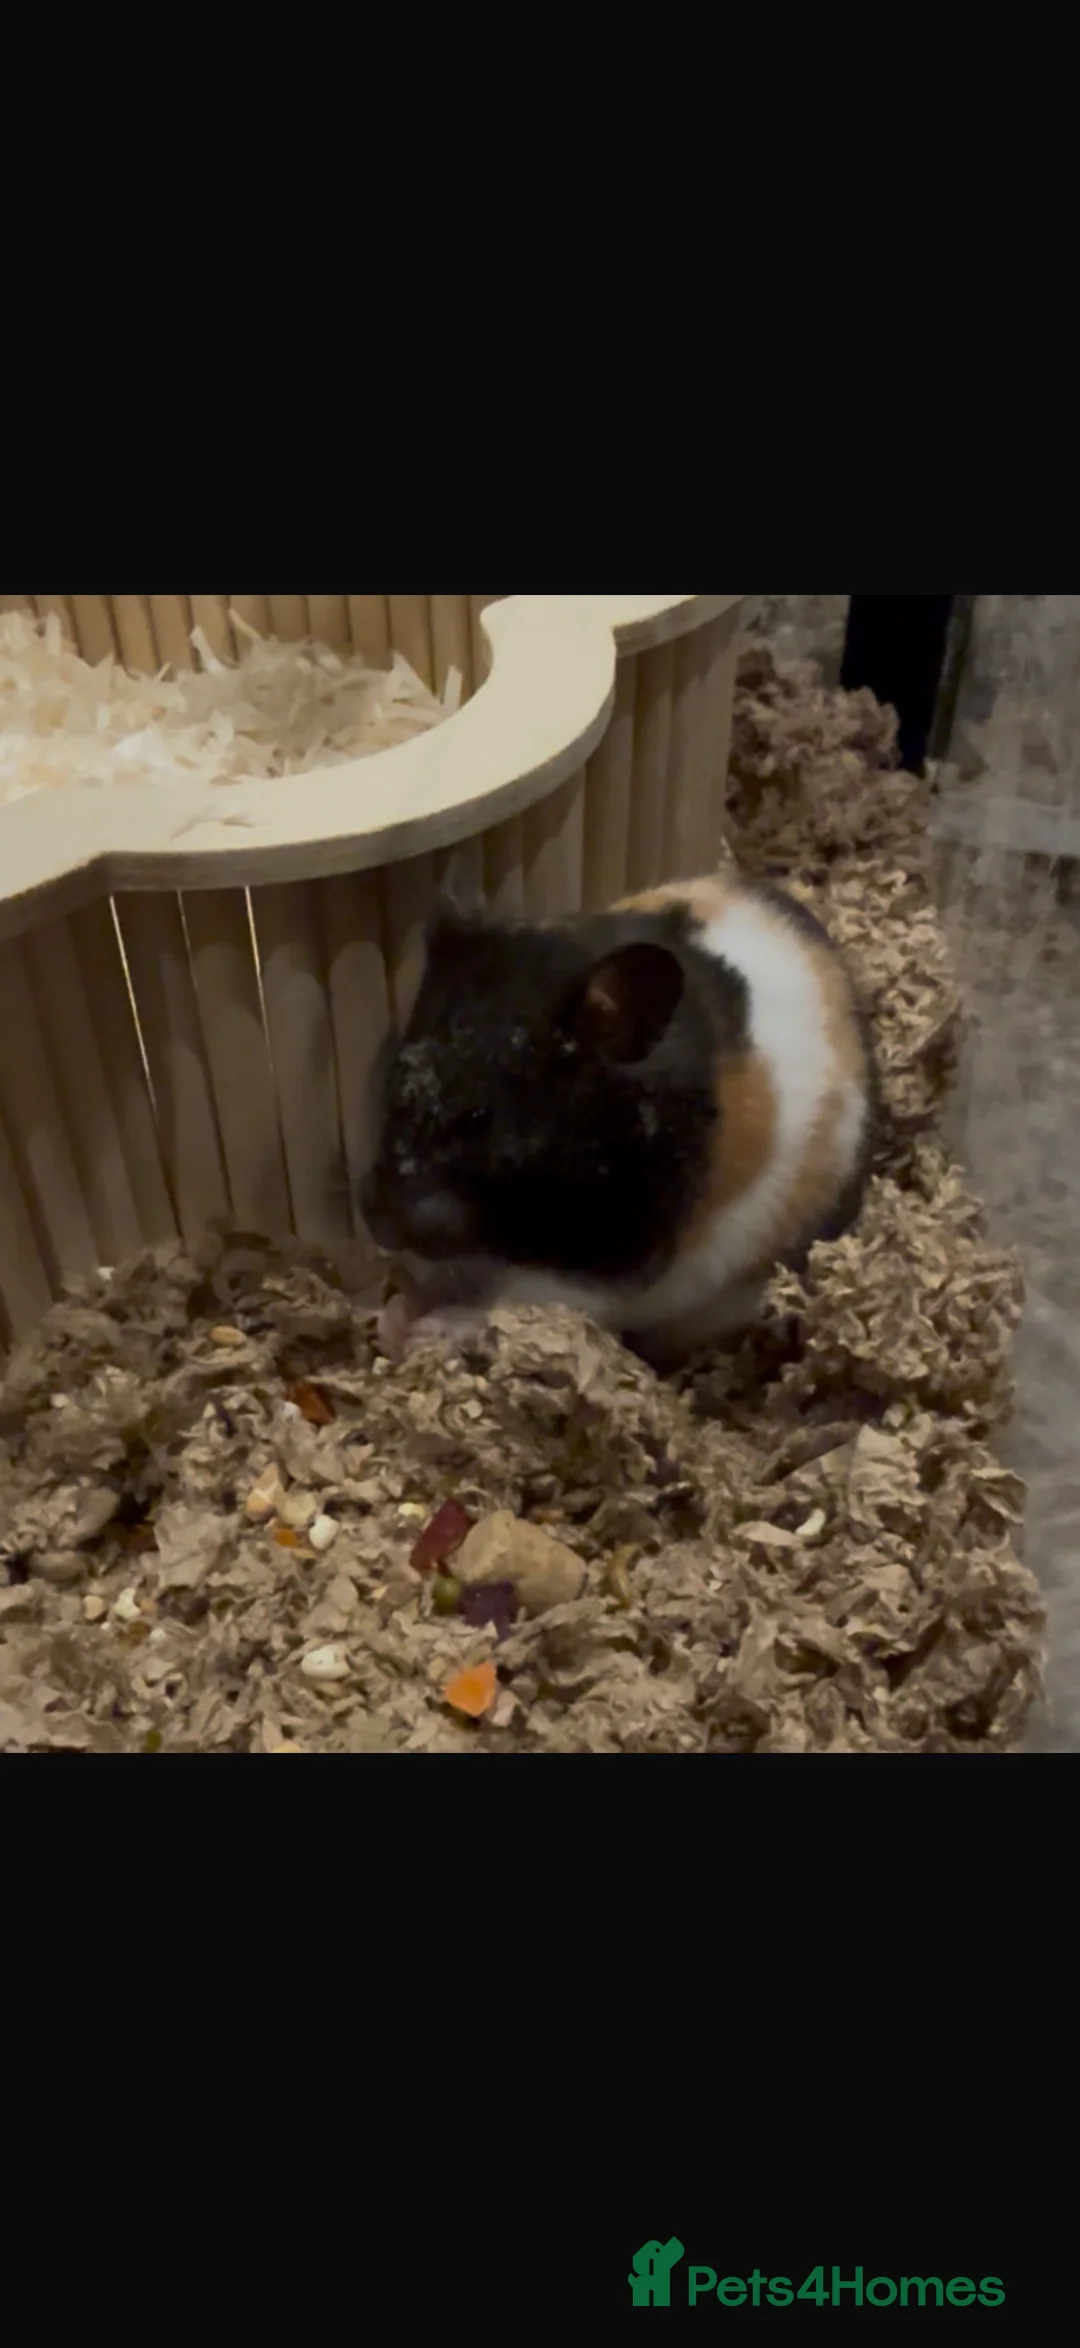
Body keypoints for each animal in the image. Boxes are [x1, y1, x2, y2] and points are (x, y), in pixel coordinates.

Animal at [360, 871, 877, 1365]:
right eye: (394, 1078)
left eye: (478, 1117)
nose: (379, 1229)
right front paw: (394, 1319)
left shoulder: (617, 1272)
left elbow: (514, 1299)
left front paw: (428, 1330)